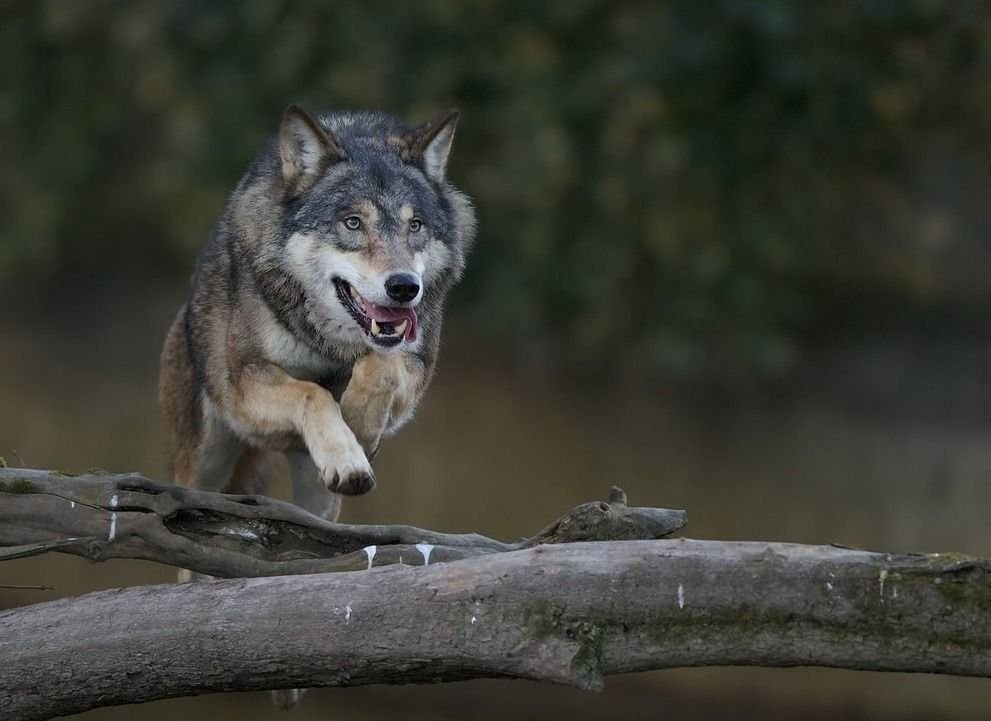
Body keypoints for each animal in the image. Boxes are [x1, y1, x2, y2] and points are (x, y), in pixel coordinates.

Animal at [160, 101, 476, 528]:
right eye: (353, 222)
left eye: (415, 225)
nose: (405, 287)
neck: (329, 345)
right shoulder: (246, 388)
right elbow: (313, 392)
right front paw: (348, 442)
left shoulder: (415, 365)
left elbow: (383, 367)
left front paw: (359, 425)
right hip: (205, 461)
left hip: (314, 490)